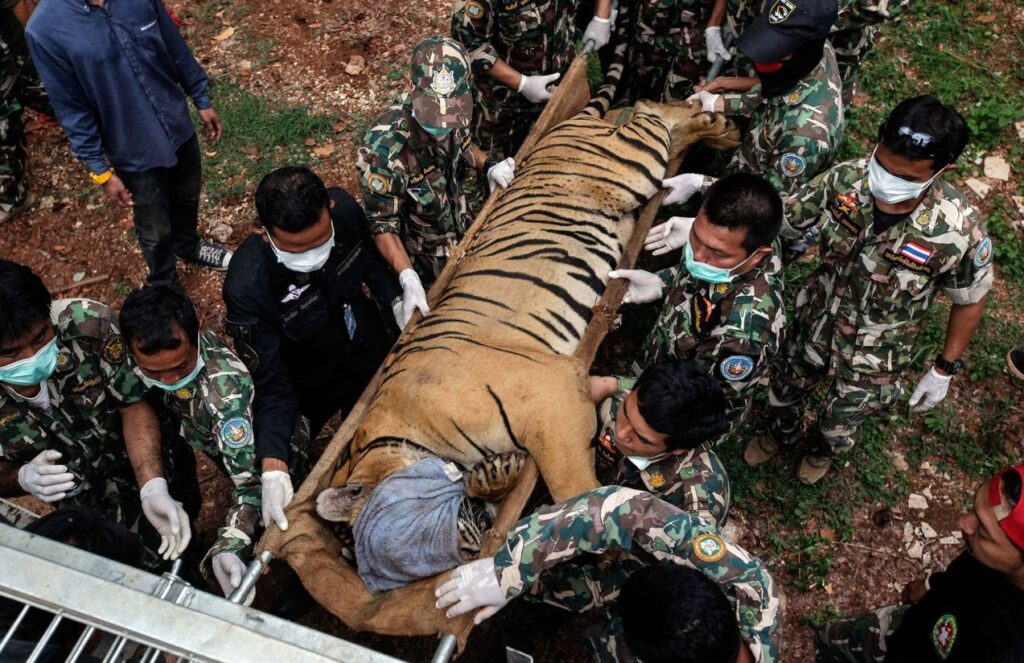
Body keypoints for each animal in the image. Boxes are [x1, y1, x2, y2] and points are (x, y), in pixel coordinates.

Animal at [316, 98, 740, 569]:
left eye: (408, 542)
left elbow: (572, 487)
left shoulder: (552, 396)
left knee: (653, 113)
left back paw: (718, 123)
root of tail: (572, 124)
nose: (465, 555)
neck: (401, 433)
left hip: (629, 165)